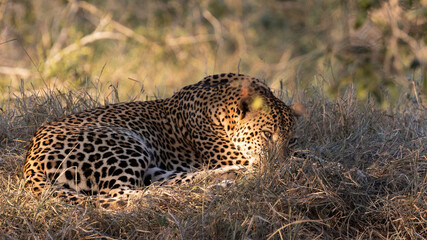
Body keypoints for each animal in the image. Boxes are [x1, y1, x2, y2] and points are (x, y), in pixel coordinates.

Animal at [23, 72, 300, 207]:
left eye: (291, 140)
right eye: (266, 135)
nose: (277, 164)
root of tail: (30, 162)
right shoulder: (229, 154)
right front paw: (286, 167)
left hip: (149, 166)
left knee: (169, 182)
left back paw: (228, 178)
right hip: (125, 143)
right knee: (121, 194)